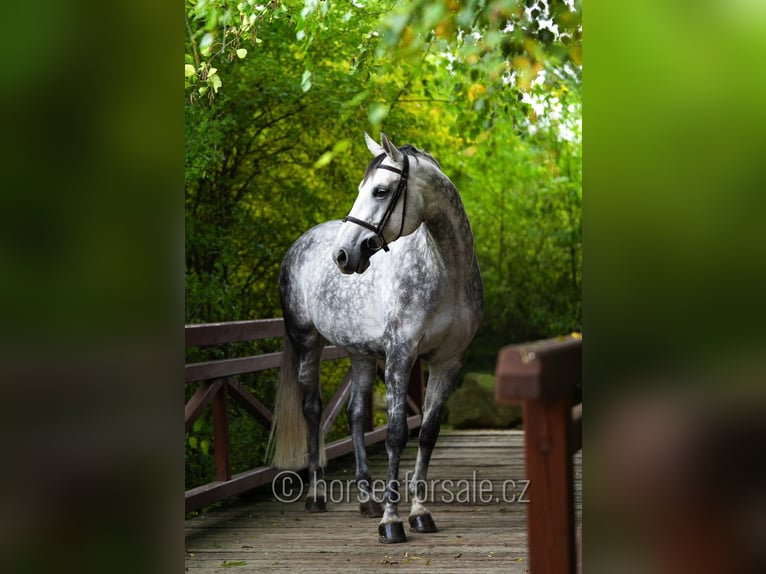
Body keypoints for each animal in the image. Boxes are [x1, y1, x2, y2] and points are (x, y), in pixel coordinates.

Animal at [270, 132, 483, 543]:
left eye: (380, 191)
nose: (342, 255)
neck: (443, 270)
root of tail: (301, 243)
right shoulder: (401, 356)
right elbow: (396, 434)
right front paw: (391, 522)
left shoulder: (447, 362)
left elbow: (427, 434)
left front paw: (420, 513)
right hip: (307, 343)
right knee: (312, 410)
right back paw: (317, 495)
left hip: (361, 355)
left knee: (354, 415)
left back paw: (366, 499)